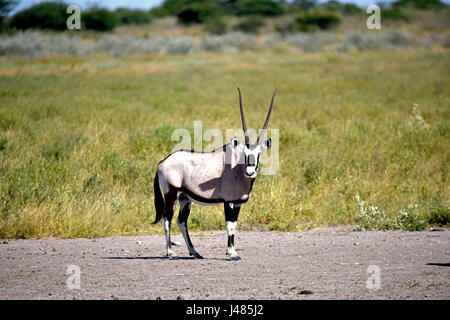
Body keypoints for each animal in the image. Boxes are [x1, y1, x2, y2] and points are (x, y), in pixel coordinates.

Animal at [153, 87, 276, 260]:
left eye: (258, 154)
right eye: (245, 154)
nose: (250, 172)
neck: (237, 167)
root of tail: (162, 162)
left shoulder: (237, 202)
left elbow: (234, 225)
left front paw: (232, 251)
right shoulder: (228, 201)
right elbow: (229, 225)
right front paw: (232, 253)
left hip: (185, 198)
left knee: (181, 221)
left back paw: (195, 252)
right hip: (171, 193)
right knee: (167, 218)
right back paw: (170, 252)